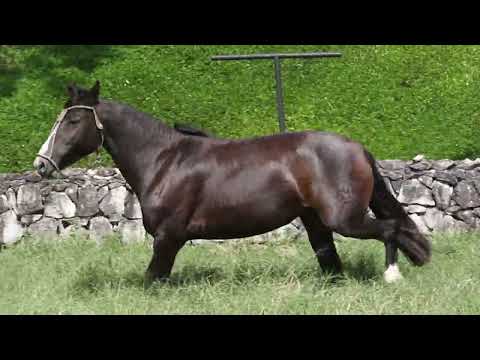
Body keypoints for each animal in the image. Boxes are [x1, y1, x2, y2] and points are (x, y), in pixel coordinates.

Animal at [33, 81, 432, 286]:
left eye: (72, 122)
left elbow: (151, 279)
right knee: (332, 258)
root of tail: (357, 147)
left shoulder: (168, 237)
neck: (163, 161)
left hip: (343, 219)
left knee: (390, 228)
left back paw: (392, 275)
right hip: (315, 220)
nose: (41, 165)